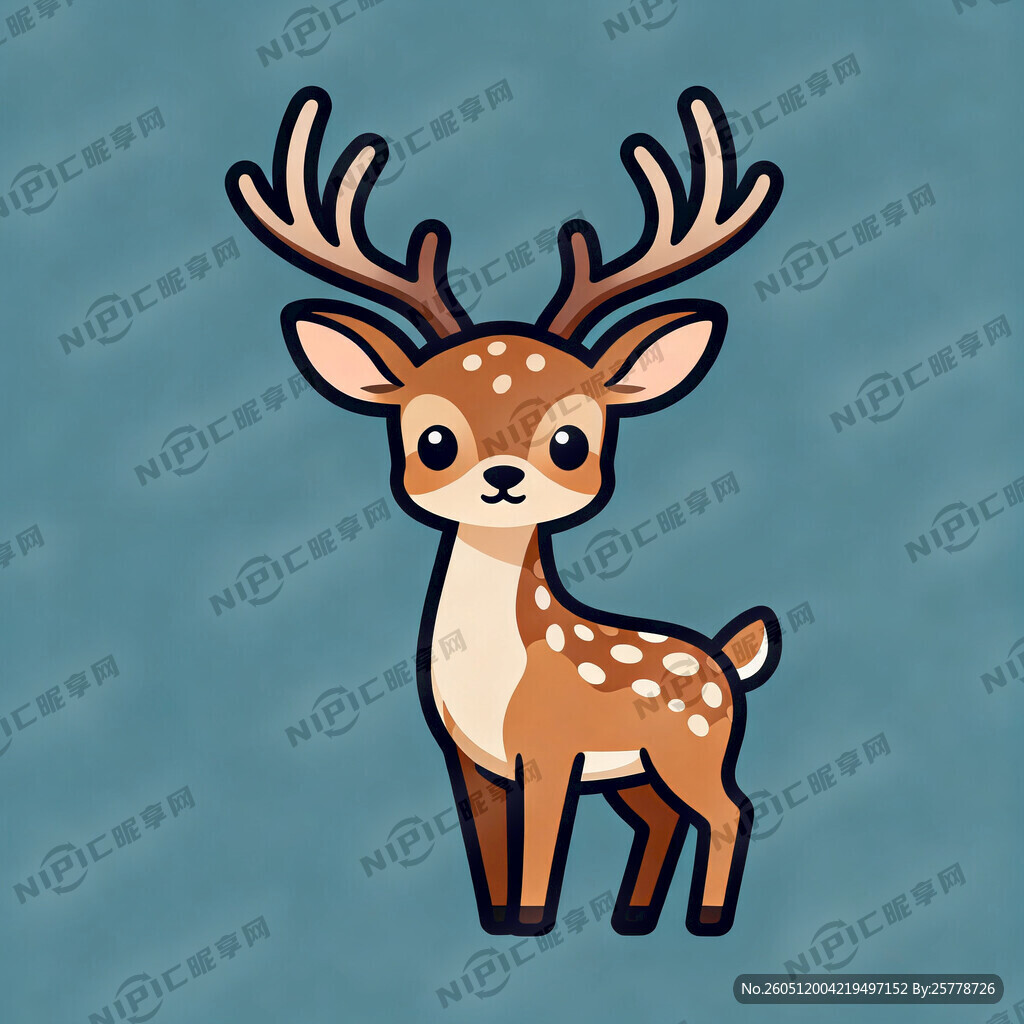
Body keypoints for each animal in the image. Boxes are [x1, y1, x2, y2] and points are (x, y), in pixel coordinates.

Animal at [226, 85, 784, 938]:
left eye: (569, 440)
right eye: (432, 439)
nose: (502, 478)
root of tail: (729, 660)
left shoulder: (551, 751)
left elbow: (542, 846)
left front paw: (529, 920)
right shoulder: (468, 759)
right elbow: (489, 850)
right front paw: (499, 922)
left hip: (692, 747)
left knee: (729, 810)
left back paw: (707, 919)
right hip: (638, 770)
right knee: (663, 817)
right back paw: (634, 917)